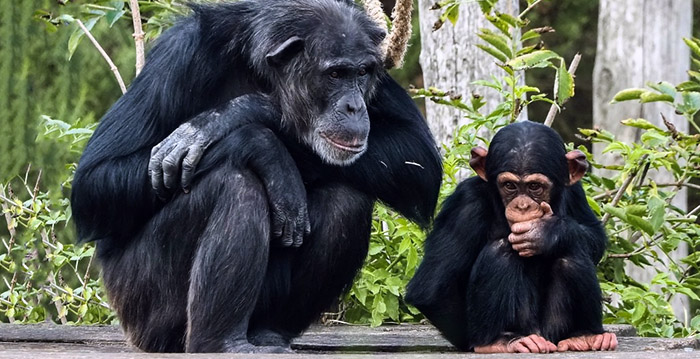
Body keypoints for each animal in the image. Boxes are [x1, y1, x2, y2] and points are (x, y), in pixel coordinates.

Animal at [72, 0, 442, 354]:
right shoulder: (178, 56)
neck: (261, 71)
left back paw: (269, 333)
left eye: (362, 72)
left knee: (346, 199)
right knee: (235, 185)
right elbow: (94, 180)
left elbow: (418, 159)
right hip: (142, 308)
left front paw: (244, 110)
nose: (354, 106)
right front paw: (258, 142)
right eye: (336, 73)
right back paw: (219, 344)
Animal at [404, 121, 616, 354]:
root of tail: (541, 335)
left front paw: (547, 232)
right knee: (501, 252)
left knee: (570, 254)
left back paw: (584, 336)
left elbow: (595, 236)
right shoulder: (466, 203)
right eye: (510, 186)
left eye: (534, 187)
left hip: (553, 330)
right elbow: (432, 289)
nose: (522, 205)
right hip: (526, 327)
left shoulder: (575, 190)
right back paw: (497, 340)